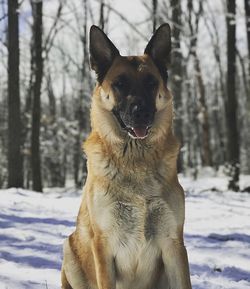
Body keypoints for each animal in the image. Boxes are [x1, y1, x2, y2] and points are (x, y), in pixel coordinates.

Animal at [61, 23, 192, 288]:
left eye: (151, 83)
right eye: (120, 83)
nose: (140, 113)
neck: (135, 159)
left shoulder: (174, 245)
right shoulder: (103, 247)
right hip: (69, 248)